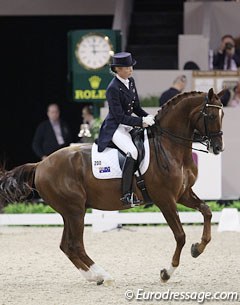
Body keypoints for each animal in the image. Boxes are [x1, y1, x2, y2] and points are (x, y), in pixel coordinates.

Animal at [0, 88, 225, 284]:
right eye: (211, 116)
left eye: (222, 115)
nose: (218, 148)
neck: (169, 147)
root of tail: (41, 165)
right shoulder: (165, 200)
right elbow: (180, 236)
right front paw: (166, 273)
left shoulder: (183, 194)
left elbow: (207, 212)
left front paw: (198, 248)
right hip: (75, 211)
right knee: (75, 245)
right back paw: (104, 276)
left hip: (69, 212)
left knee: (67, 246)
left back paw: (94, 277)